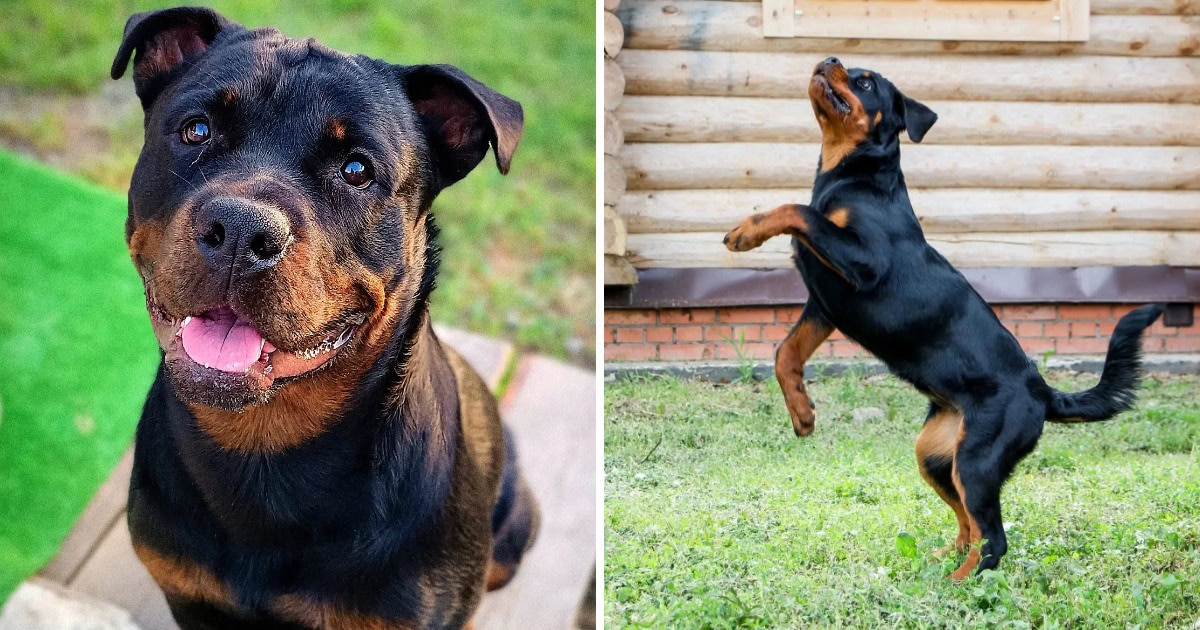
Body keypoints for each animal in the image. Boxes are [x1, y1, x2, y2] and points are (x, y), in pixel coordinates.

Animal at [720, 57, 1161, 580]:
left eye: (865, 81)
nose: (828, 60)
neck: (851, 177)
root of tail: (1043, 392)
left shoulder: (863, 264)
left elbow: (797, 208)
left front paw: (747, 231)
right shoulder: (824, 305)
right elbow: (785, 351)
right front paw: (802, 412)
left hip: (977, 458)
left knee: (994, 538)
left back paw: (955, 583)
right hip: (935, 454)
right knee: (969, 523)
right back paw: (943, 561)